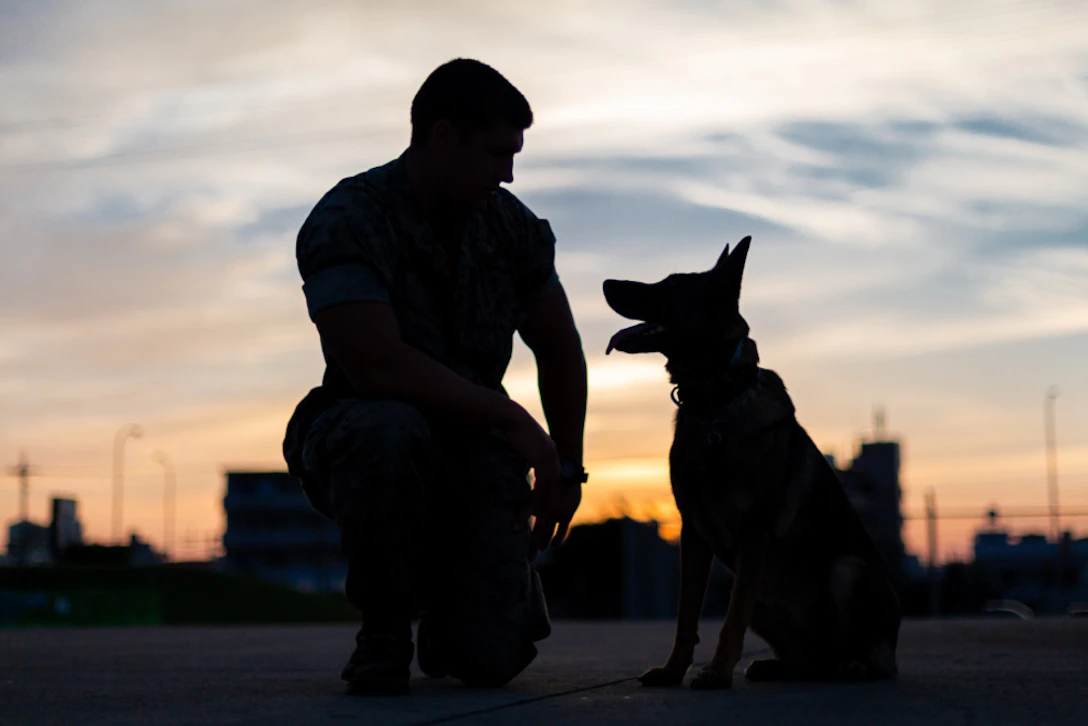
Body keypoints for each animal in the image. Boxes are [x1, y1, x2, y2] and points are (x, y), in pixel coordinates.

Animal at [604, 236, 900, 692]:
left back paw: (852, 666)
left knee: (870, 660)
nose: (605, 284)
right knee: (810, 659)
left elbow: (731, 621)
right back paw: (785, 666)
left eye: (667, 286)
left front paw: (716, 672)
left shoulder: (753, 533)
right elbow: (686, 615)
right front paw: (673, 671)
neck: (716, 404)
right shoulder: (693, 534)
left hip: (846, 571)